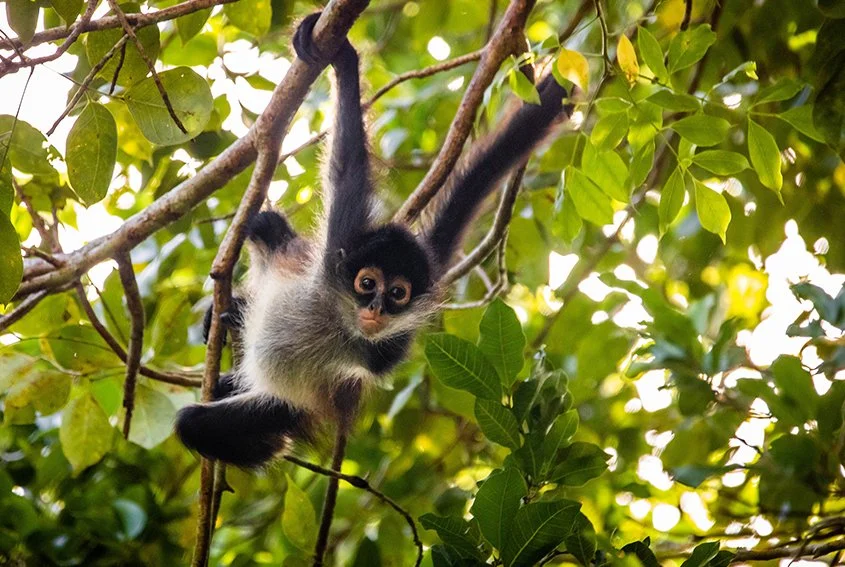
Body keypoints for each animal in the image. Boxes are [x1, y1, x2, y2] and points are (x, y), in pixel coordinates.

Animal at [175, 12, 572, 468]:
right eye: (367, 284)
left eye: (398, 294)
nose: (377, 309)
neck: (337, 316)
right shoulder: (341, 239)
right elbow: (346, 168)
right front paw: (344, 60)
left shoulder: (385, 351)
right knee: (266, 225)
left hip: (279, 403)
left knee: (204, 422)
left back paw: (267, 435)